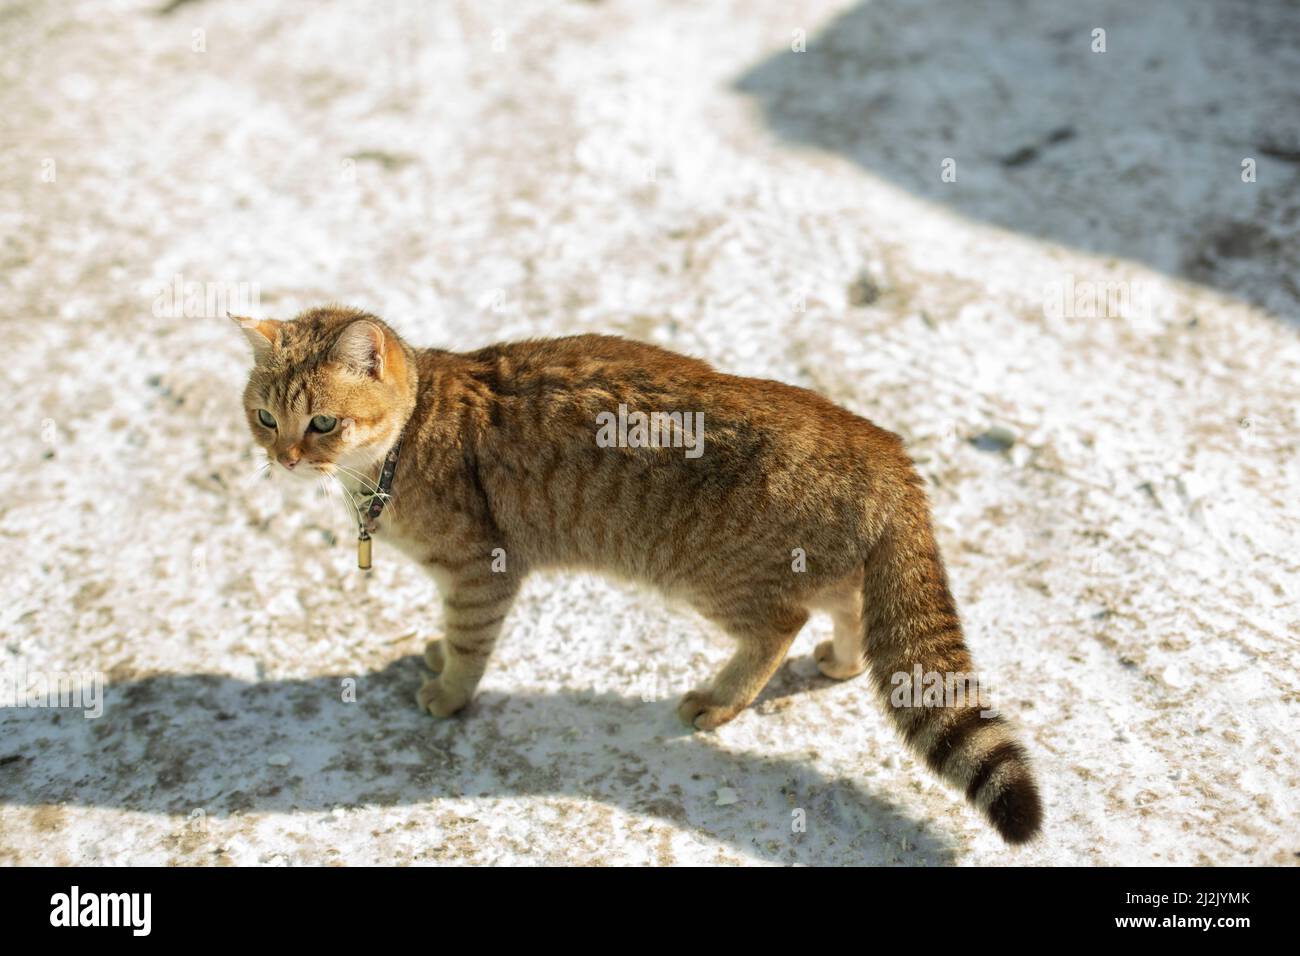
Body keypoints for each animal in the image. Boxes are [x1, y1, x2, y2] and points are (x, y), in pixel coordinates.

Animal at [236, 306, 1045, 842]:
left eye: (323, 424)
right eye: (265, 419)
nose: (283, 459)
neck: (397, 449)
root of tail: (884, 446)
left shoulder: (480, 574)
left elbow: (467, 646)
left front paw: (448, 690)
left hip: (720, 580)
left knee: (779, 628)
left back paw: (719, 701)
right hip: (820, 569)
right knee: (848, 609)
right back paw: (841, 662)